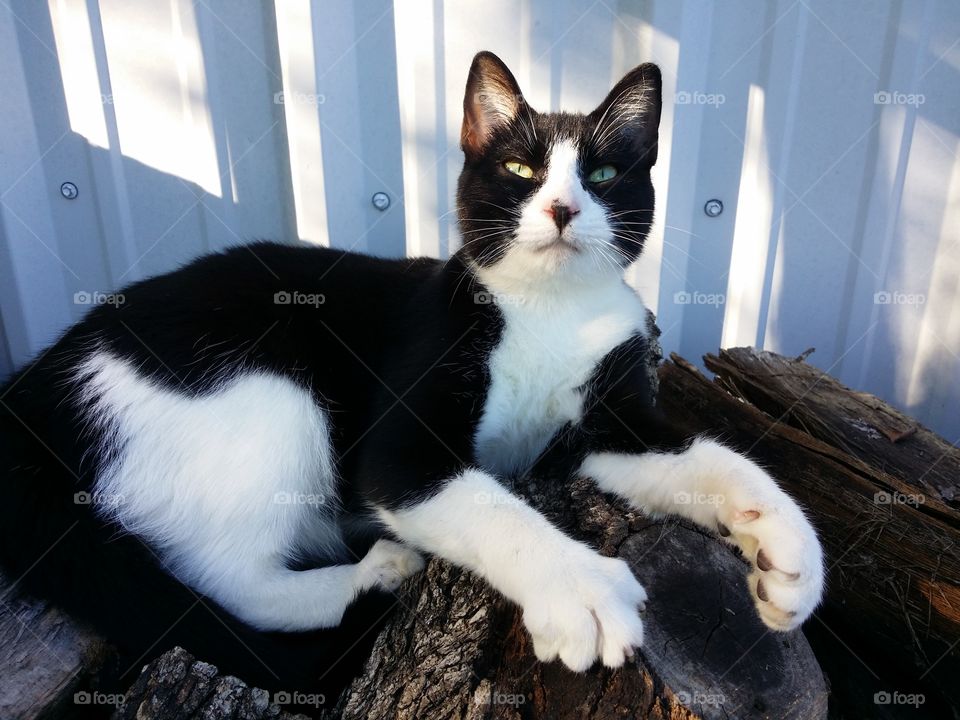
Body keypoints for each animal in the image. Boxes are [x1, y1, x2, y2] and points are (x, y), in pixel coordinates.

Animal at [0, 50, 820, 692]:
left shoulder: (603, 419)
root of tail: (35, 391)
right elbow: (484, 505)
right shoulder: (406, 429)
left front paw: (784, 545)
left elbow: (699, 453)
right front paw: (579, 589)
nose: (561, 207)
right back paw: (371, 573)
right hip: (267, 388)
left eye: (604, 171)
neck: (549, 308)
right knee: (228, 581)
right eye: (520, 168)